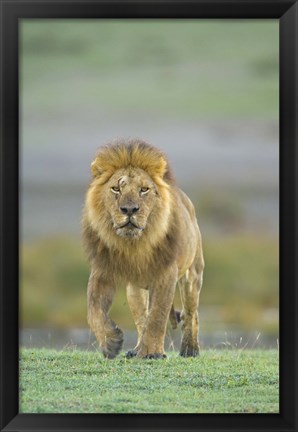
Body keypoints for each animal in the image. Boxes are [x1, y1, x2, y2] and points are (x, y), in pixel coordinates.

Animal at [81, 140, 204, 360]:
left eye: (144, 189)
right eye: (116, 189)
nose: (129, 210)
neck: (134, 244)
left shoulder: (166, 273)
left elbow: (157, 316)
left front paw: (152, 353)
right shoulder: (102, 270)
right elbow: (93, 309)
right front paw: (111, 343)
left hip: (193, 275)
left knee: (191, 313)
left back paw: (190, 349)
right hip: (135, 290)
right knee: (141, 319)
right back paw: (135, 350)